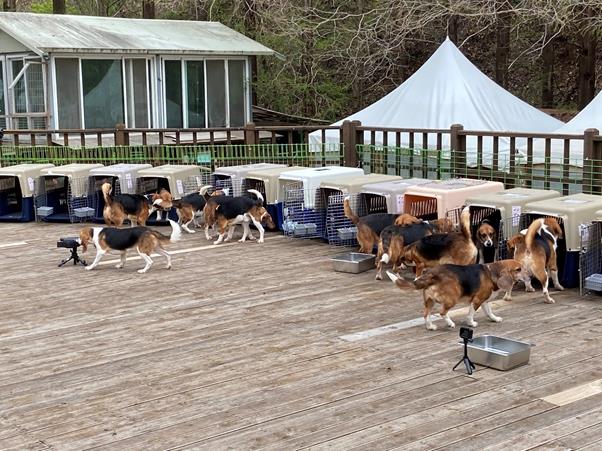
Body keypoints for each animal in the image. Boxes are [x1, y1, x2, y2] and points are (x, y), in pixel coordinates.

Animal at [390, 260, 520, 330]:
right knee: (442, 312)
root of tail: (432, 274)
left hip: (429, 301)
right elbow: (471, 314)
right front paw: (471, 323)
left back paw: (430, 326)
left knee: (426, 314)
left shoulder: (484, 301)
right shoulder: (477, 300)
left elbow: (489, 312)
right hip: (453, 298)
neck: (492, 272)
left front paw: (495, 319)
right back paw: (450, 323)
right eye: (518, 269)